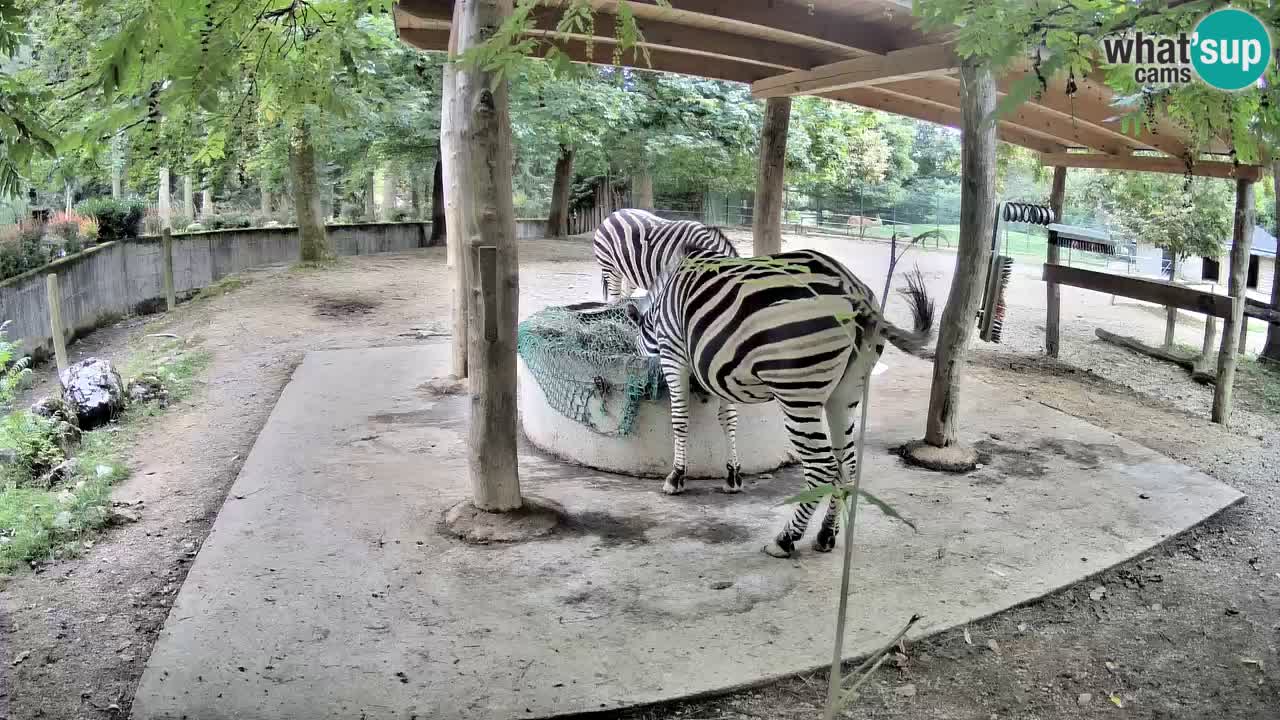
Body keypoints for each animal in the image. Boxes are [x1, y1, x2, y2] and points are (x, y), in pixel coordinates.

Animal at [624, 247, 934, 558]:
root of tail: (854, 290)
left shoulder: (673, 353)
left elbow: (680, 419)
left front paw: (676, 477)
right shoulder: (717, 369)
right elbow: (728, 419)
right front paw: (733, 476)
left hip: (797, 390)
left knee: (822, 466)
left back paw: (785, 539)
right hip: (846, 392)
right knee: (846, 462)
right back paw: (826, 534)